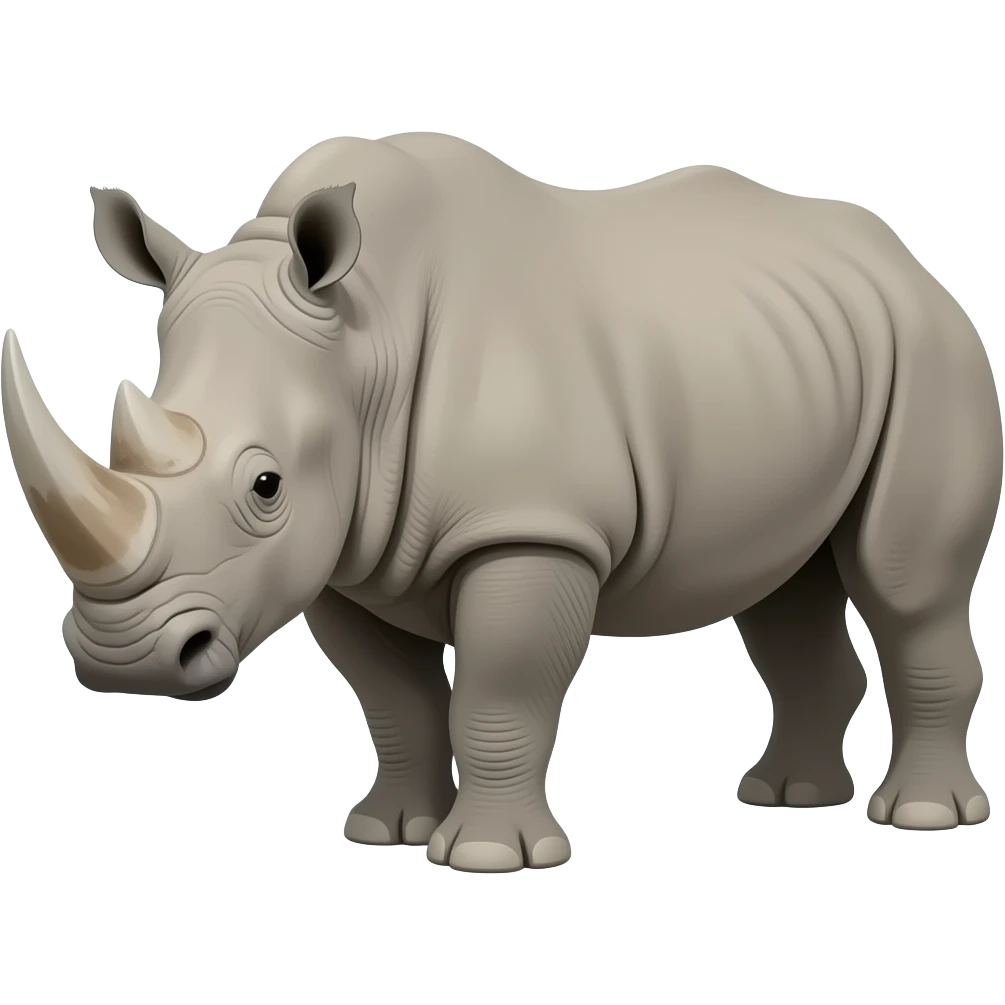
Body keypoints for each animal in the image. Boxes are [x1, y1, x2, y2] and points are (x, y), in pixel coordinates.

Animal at [2, 134, 998, 868]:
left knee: (904, 583)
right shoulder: (341, 553)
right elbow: (393, 698)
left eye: (265, 484)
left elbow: (499, 687)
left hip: (931, 348)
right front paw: (387, 832)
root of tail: (908, 261)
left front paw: (486, 856)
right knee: (783, 587)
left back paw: (919, 815)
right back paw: (787, 799)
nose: (124, 661)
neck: (364, 339)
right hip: (794, 356)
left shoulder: (531, 530)